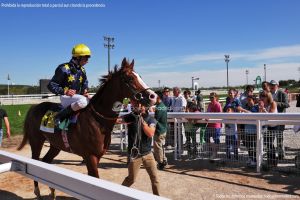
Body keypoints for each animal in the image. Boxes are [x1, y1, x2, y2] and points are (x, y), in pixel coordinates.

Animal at [17, 57, 157, 198]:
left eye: (140, 76)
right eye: (130, 78)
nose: (153, 96)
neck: (98, 120)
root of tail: (34, 107)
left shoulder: (98, 156)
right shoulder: (90, 156)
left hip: (55, 145)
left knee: (45, 161)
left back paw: (52, 190)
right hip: (36, 141)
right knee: (35, 161)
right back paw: (37, 191)